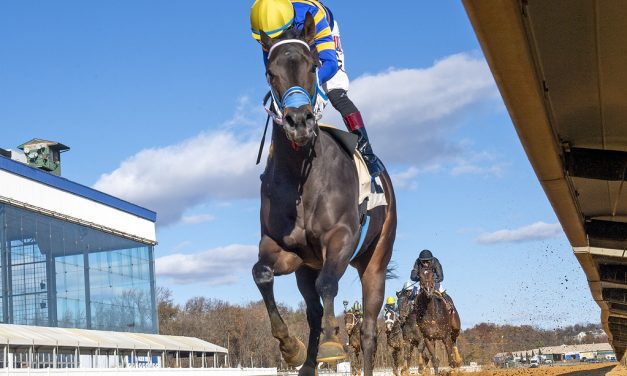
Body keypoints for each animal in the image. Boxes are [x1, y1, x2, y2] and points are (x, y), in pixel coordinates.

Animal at [251, 11, 394, 376]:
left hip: (375, 260)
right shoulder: (285, 249)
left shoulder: (341, 237)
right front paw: (291, 348)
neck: (302, 176)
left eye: (314, 66)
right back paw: (306, 362)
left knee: (369, 331)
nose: (298, 121)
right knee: (313, 311)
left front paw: (331, 344)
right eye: (270, 72)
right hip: (307, 267)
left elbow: (328, 284)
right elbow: (262, 273)